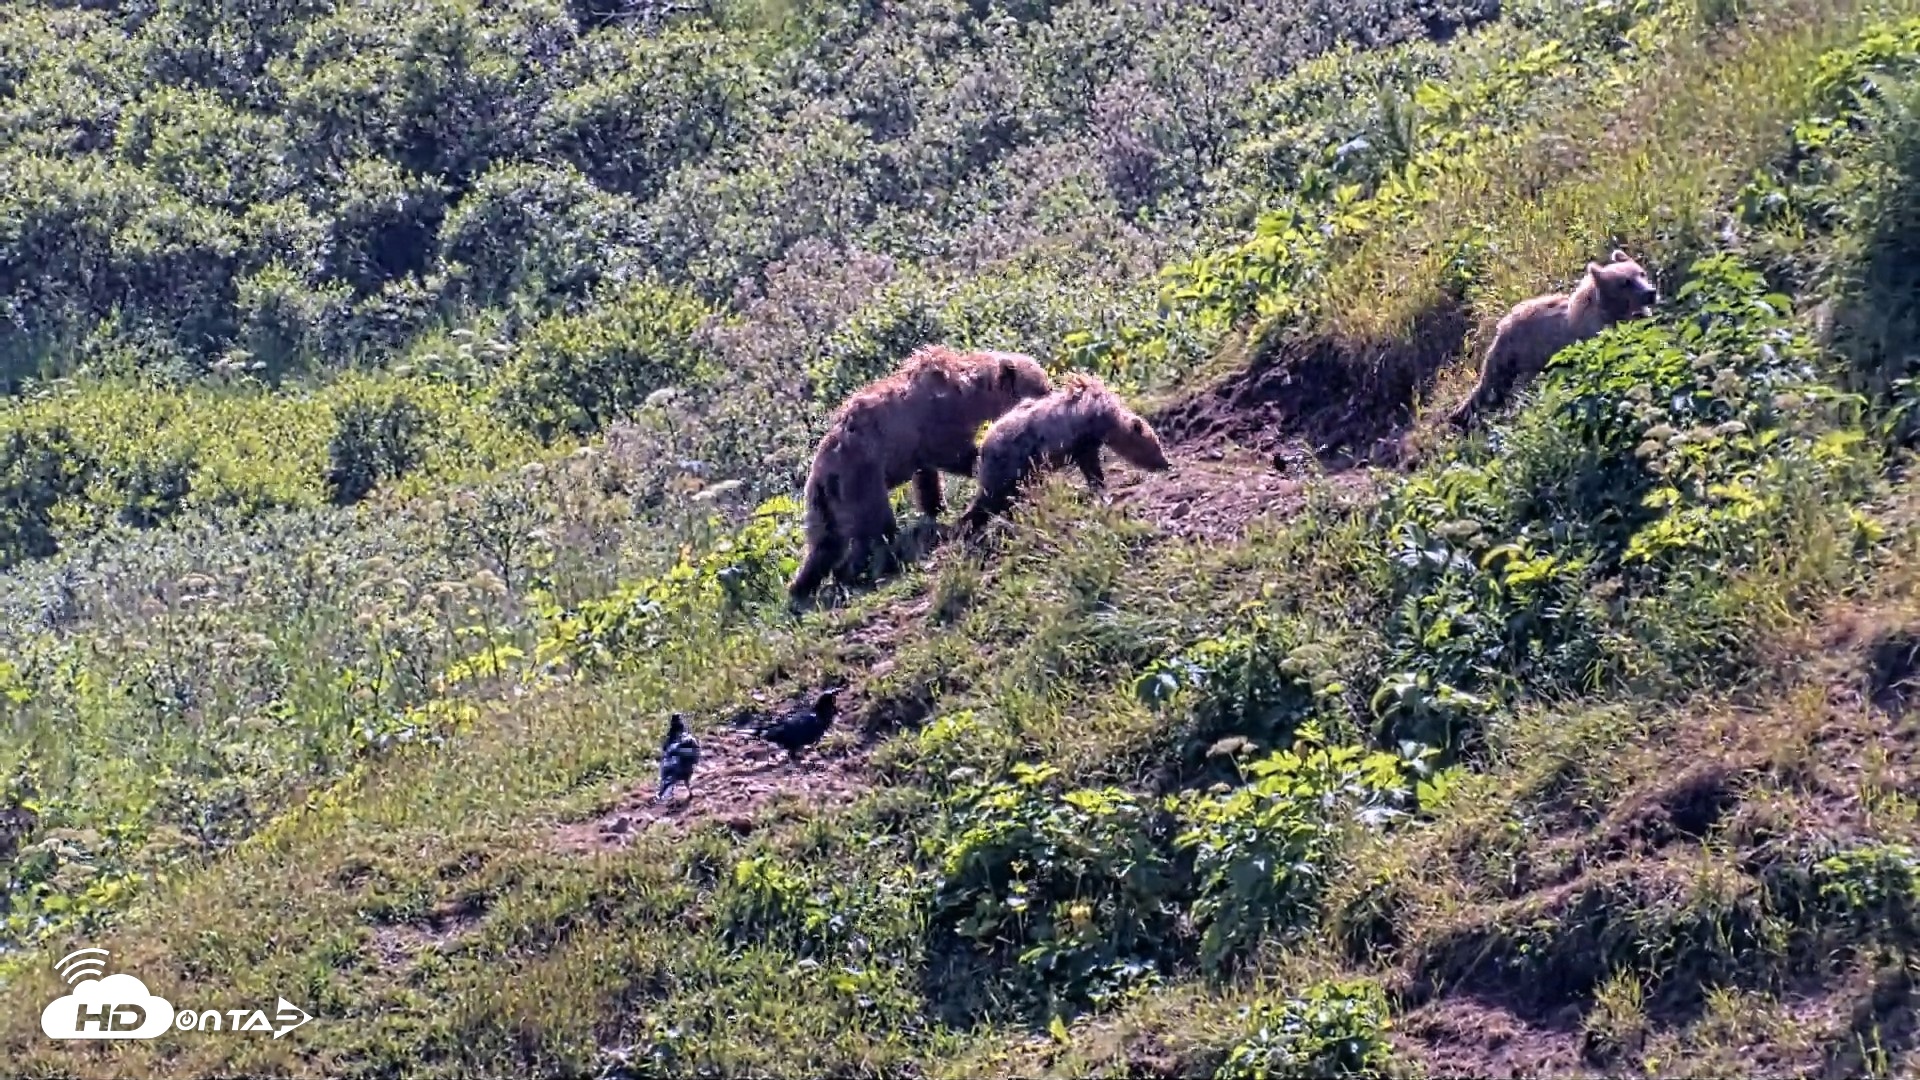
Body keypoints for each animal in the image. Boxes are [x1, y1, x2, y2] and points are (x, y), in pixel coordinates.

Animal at [787, 344, 1053, 601]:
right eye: (1041, 387)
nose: (1050, 395)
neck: (972, 397)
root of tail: (822, 474)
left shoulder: (919, 448)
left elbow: (927, 479)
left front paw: (937, 506)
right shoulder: (938, 421)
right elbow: (952, 454)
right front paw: (978, 463)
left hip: (825, 503)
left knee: (825, 543)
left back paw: (801, 586)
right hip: (861, 480)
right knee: (874, 527)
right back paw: (857, 571)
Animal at [956, 371, 1172, 534]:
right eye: (1156, 446)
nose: (1166, 463)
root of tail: (983, 445)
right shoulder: (1080, 440)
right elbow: (1091, 467)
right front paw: (1101, 489)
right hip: (1010, 461)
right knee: (991, 495)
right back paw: (968, 524)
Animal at [1446, 249, 1660, 429]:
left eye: (1641, 273)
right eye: (1626, 282)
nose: (1651, 292)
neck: (1612, 312)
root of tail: (1502, 325)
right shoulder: (1590, 336)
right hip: (1522, 356)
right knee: (1498, 384)